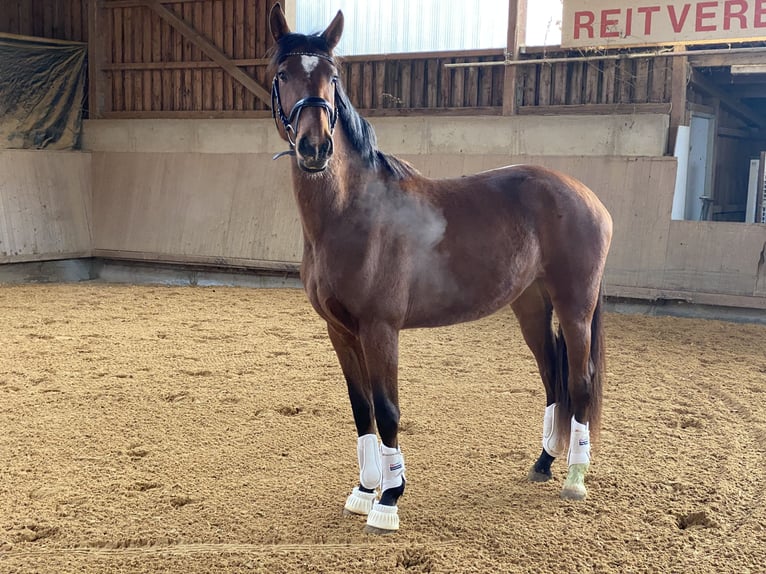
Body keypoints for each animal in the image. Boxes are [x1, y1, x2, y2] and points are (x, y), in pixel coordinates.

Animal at [268, 3, 616, 536]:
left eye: (333, 77)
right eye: (283, 74)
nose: (314, 147)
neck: (351, 211)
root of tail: (585, 194)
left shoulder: (380, 329)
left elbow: (387, 410)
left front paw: (389, 500)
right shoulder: (340, 331)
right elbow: (361, 408)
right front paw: (364, 491)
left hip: (575, 307)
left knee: (577, 382)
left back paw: (575, 478)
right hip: (531, 306)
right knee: (552, 377)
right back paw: (543, 464)